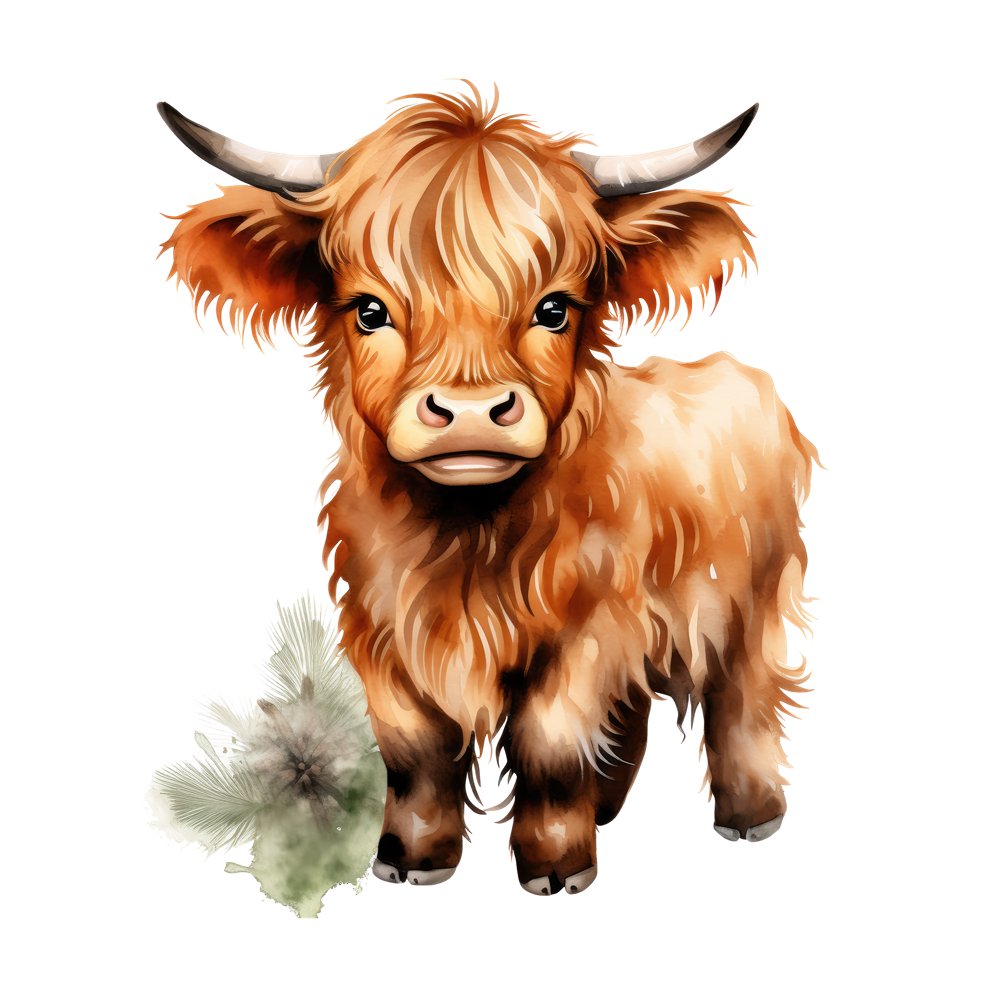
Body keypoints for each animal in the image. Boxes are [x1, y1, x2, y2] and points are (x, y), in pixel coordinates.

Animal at [160, 85, 817, 895]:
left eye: (555, 308)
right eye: (369, 310)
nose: (470, 412)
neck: (465, 542)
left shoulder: (588, 629)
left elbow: (551, 741)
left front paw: (557, 863)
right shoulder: (379, 624)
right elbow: (412, 747)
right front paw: (411, 855)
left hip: (753, 599)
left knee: (743, 698)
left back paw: (751, 813)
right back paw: (608, 811)